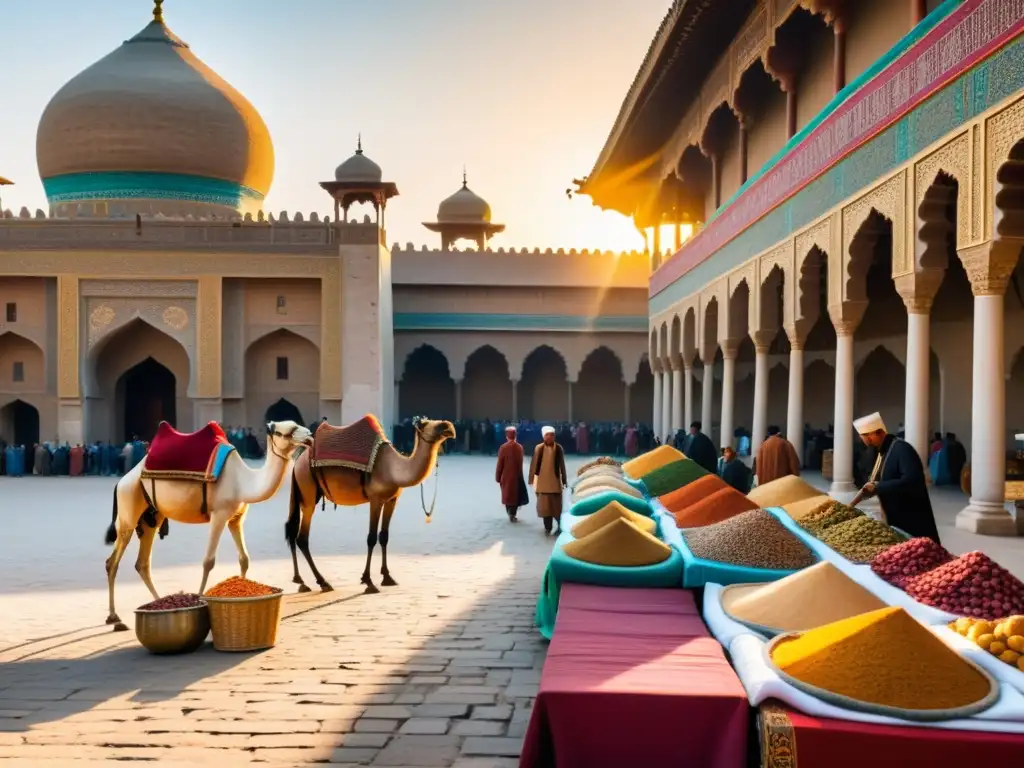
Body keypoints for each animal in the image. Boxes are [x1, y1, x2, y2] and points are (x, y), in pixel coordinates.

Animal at [104, 421, 313, 630]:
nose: (310, 437)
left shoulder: (236, 519)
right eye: (283, 432)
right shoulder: (219, 515)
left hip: (152, 517)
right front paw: (200, 599)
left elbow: (244, 559)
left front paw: (245, 590)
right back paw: (115, 618)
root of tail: (122, 481)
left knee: (142, 563)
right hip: (128, 506)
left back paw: (157, 602)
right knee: (112, 561)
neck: (243, 482)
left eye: (296, 424)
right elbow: (208, 561)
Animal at [282, 421, 454, 593]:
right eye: (427, 424)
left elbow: (384, 536)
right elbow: (371, 538)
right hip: (308, 490)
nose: (449, 427)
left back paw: (301, 581)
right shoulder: (375, 499)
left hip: (307, 495)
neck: (393, 469)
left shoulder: (392, 500)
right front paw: (368, 581)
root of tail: (298, 462)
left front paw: (387, 577)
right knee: (302, 537)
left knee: (294, 531)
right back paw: (322, 582)